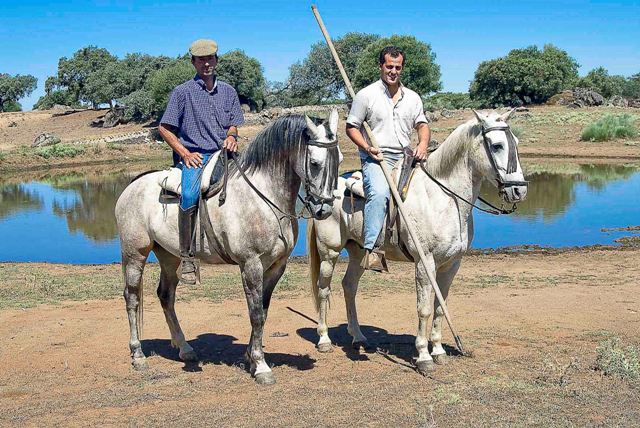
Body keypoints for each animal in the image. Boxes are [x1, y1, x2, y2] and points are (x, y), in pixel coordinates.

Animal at [117, 110, 342, 384]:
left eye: (339, 160)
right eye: (315, 163)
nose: (324, 209)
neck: (264, 197)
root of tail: (132, 185)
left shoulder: (276, 266)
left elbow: (263, 310)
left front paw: (250, 357)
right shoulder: (251, 264)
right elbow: (255, 314)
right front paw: (261, 366)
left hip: (170, 257)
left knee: (166, 296)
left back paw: (184, 348)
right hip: (135, 254)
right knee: (131, 298)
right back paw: (138, 354)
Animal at [308, 110, 528, 374]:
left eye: (516, 142)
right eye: (497, 145)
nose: (519, 191)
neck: (444, 198)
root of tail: (326, 193)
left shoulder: (451, 264)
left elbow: (439, 306)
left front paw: (439, 350)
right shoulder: (425, 263)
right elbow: (424, 309)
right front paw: (424, 356)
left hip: (359, 252)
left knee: (349, 286)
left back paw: (359, 337)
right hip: (329, 251)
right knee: (323, 290)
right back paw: (324, 339)